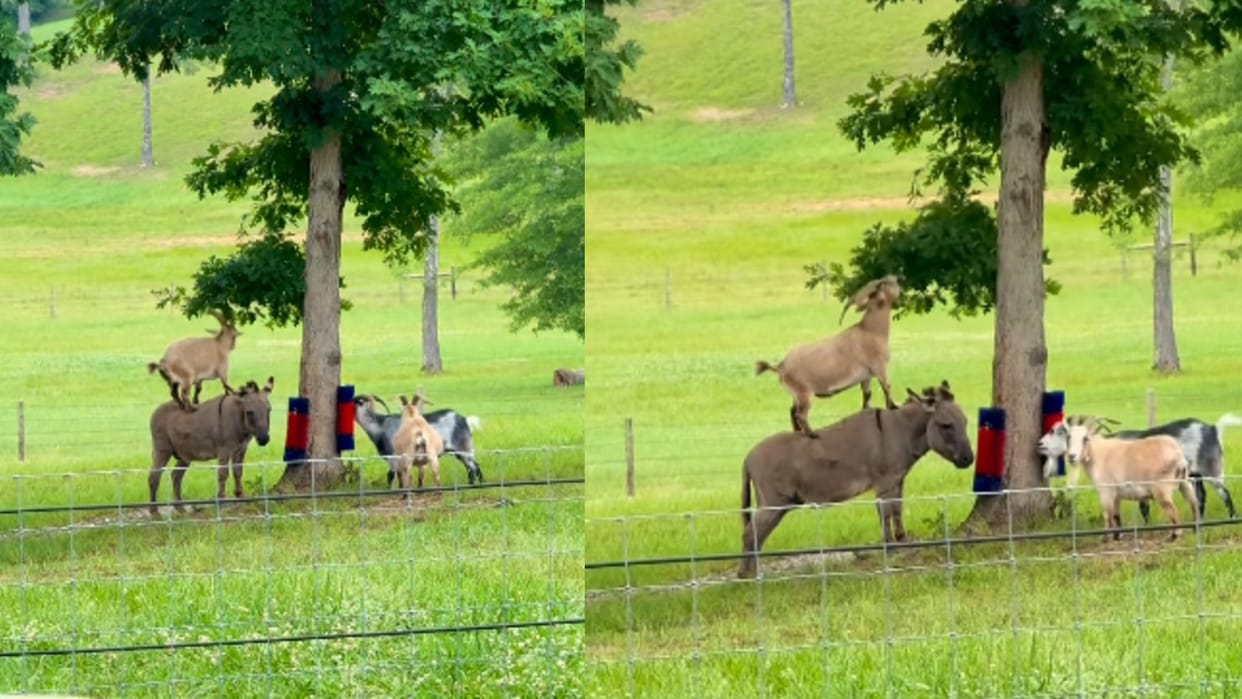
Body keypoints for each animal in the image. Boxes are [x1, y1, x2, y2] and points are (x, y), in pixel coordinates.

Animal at [148, 377, 273, 517]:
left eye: (269, 410)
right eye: (250, 412)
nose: (264, 439)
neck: (239, 420)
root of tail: (156, 411)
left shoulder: (241, 449)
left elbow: (238, 472)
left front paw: (240, 496)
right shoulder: (224, 450)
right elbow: (223, 474)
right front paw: (221, 499)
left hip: (185, 454)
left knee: (176, 476)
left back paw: (180, 508)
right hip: (162, 450)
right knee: (154, 477)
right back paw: (154, 512)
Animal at [353, 393, 484, 485]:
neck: (380, 425)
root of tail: (464, 419)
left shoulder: (394, 457)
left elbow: (391, 476)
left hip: (463, 448)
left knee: (473, 467)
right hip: (460, 451)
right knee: (472, 467)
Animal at [739, 381, 974, 578]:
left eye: (965, 422)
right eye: (946, 426)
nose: (969, 459)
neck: (901, 432)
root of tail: (748, 456)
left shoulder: (898, 481)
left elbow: (897, 509)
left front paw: (902, 540)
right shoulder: (884, 483)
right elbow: (885, 513)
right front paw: (889, 547)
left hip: (778, 505)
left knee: (757, 535)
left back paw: (752, 571)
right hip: (773, 504)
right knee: (750, 533)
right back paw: (748, 575)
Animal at [755, 274, 901, 438]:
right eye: (885, 284)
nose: (893, 276)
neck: (871, 331)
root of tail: (781, 366)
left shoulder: (866, 376)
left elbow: (867, 394)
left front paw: (866, 410)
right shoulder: (879, 367)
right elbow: (887, 387)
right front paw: (894, 406)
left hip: (795, 395)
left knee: (792, 411)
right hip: (804, 393)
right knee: (800, 414)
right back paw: (813, 434)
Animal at [1041, 416, 1199, 540]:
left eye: (1085, 439)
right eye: (1068, 438)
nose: (1072, 456)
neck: (1098, 454)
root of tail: (1178, 455)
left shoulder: (1106, 491)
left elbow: (1107, 514)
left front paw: (1105, 538)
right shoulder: (1116, 494)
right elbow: (1116, 515)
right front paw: (1118, 536)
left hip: (1161, 489)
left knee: (1172, 510)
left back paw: (1174, 535)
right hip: (1184, 482)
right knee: (1193, 502)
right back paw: (1195, 529)